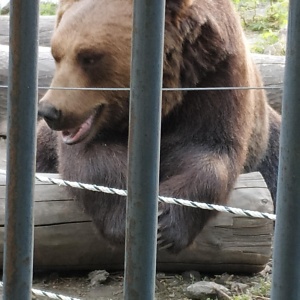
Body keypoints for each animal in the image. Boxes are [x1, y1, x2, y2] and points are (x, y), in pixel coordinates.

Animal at [37, 0, 282, 253]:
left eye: (89, 57)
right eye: (56, 54)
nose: (50, 110)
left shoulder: (215, 81)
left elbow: (211, 151)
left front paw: (166, 223)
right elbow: (92, 158)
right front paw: (125, 216)